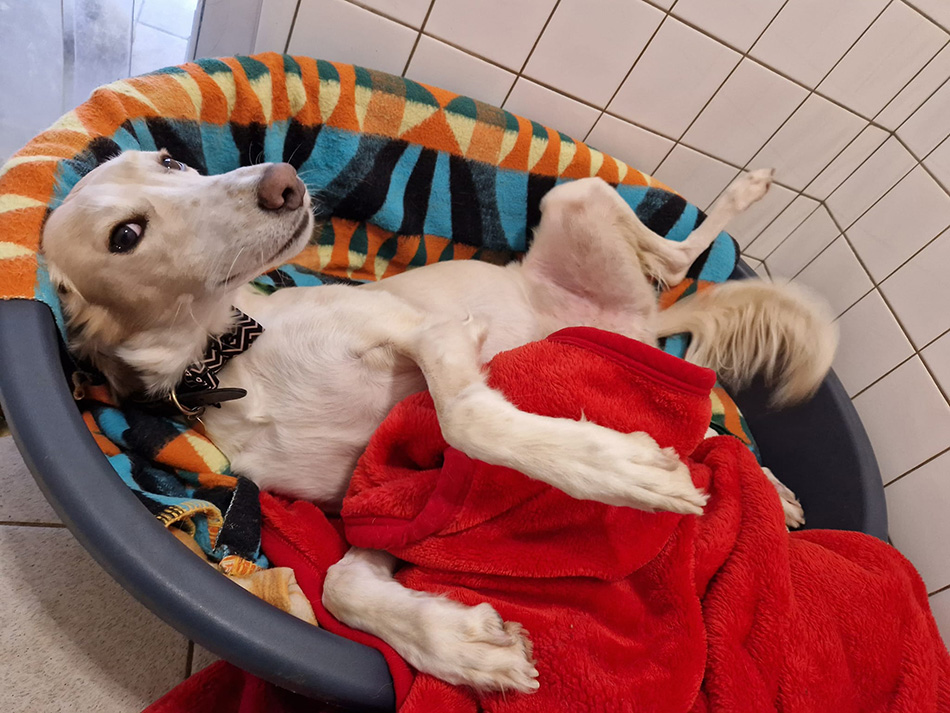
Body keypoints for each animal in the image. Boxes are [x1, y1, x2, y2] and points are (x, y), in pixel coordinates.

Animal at [41, 150, 836, 688]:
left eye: (171, 160)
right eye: (125, 235)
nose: (283, 181)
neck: (233, 359)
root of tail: (637, 327)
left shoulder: (429, 331)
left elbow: (466, 419)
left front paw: (615, 466)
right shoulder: (367, 502)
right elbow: (342, 585)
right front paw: (463, 646)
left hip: (577, 198)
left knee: (675, 258)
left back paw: (746, 191)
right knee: (706, 424)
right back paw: (769, 487)